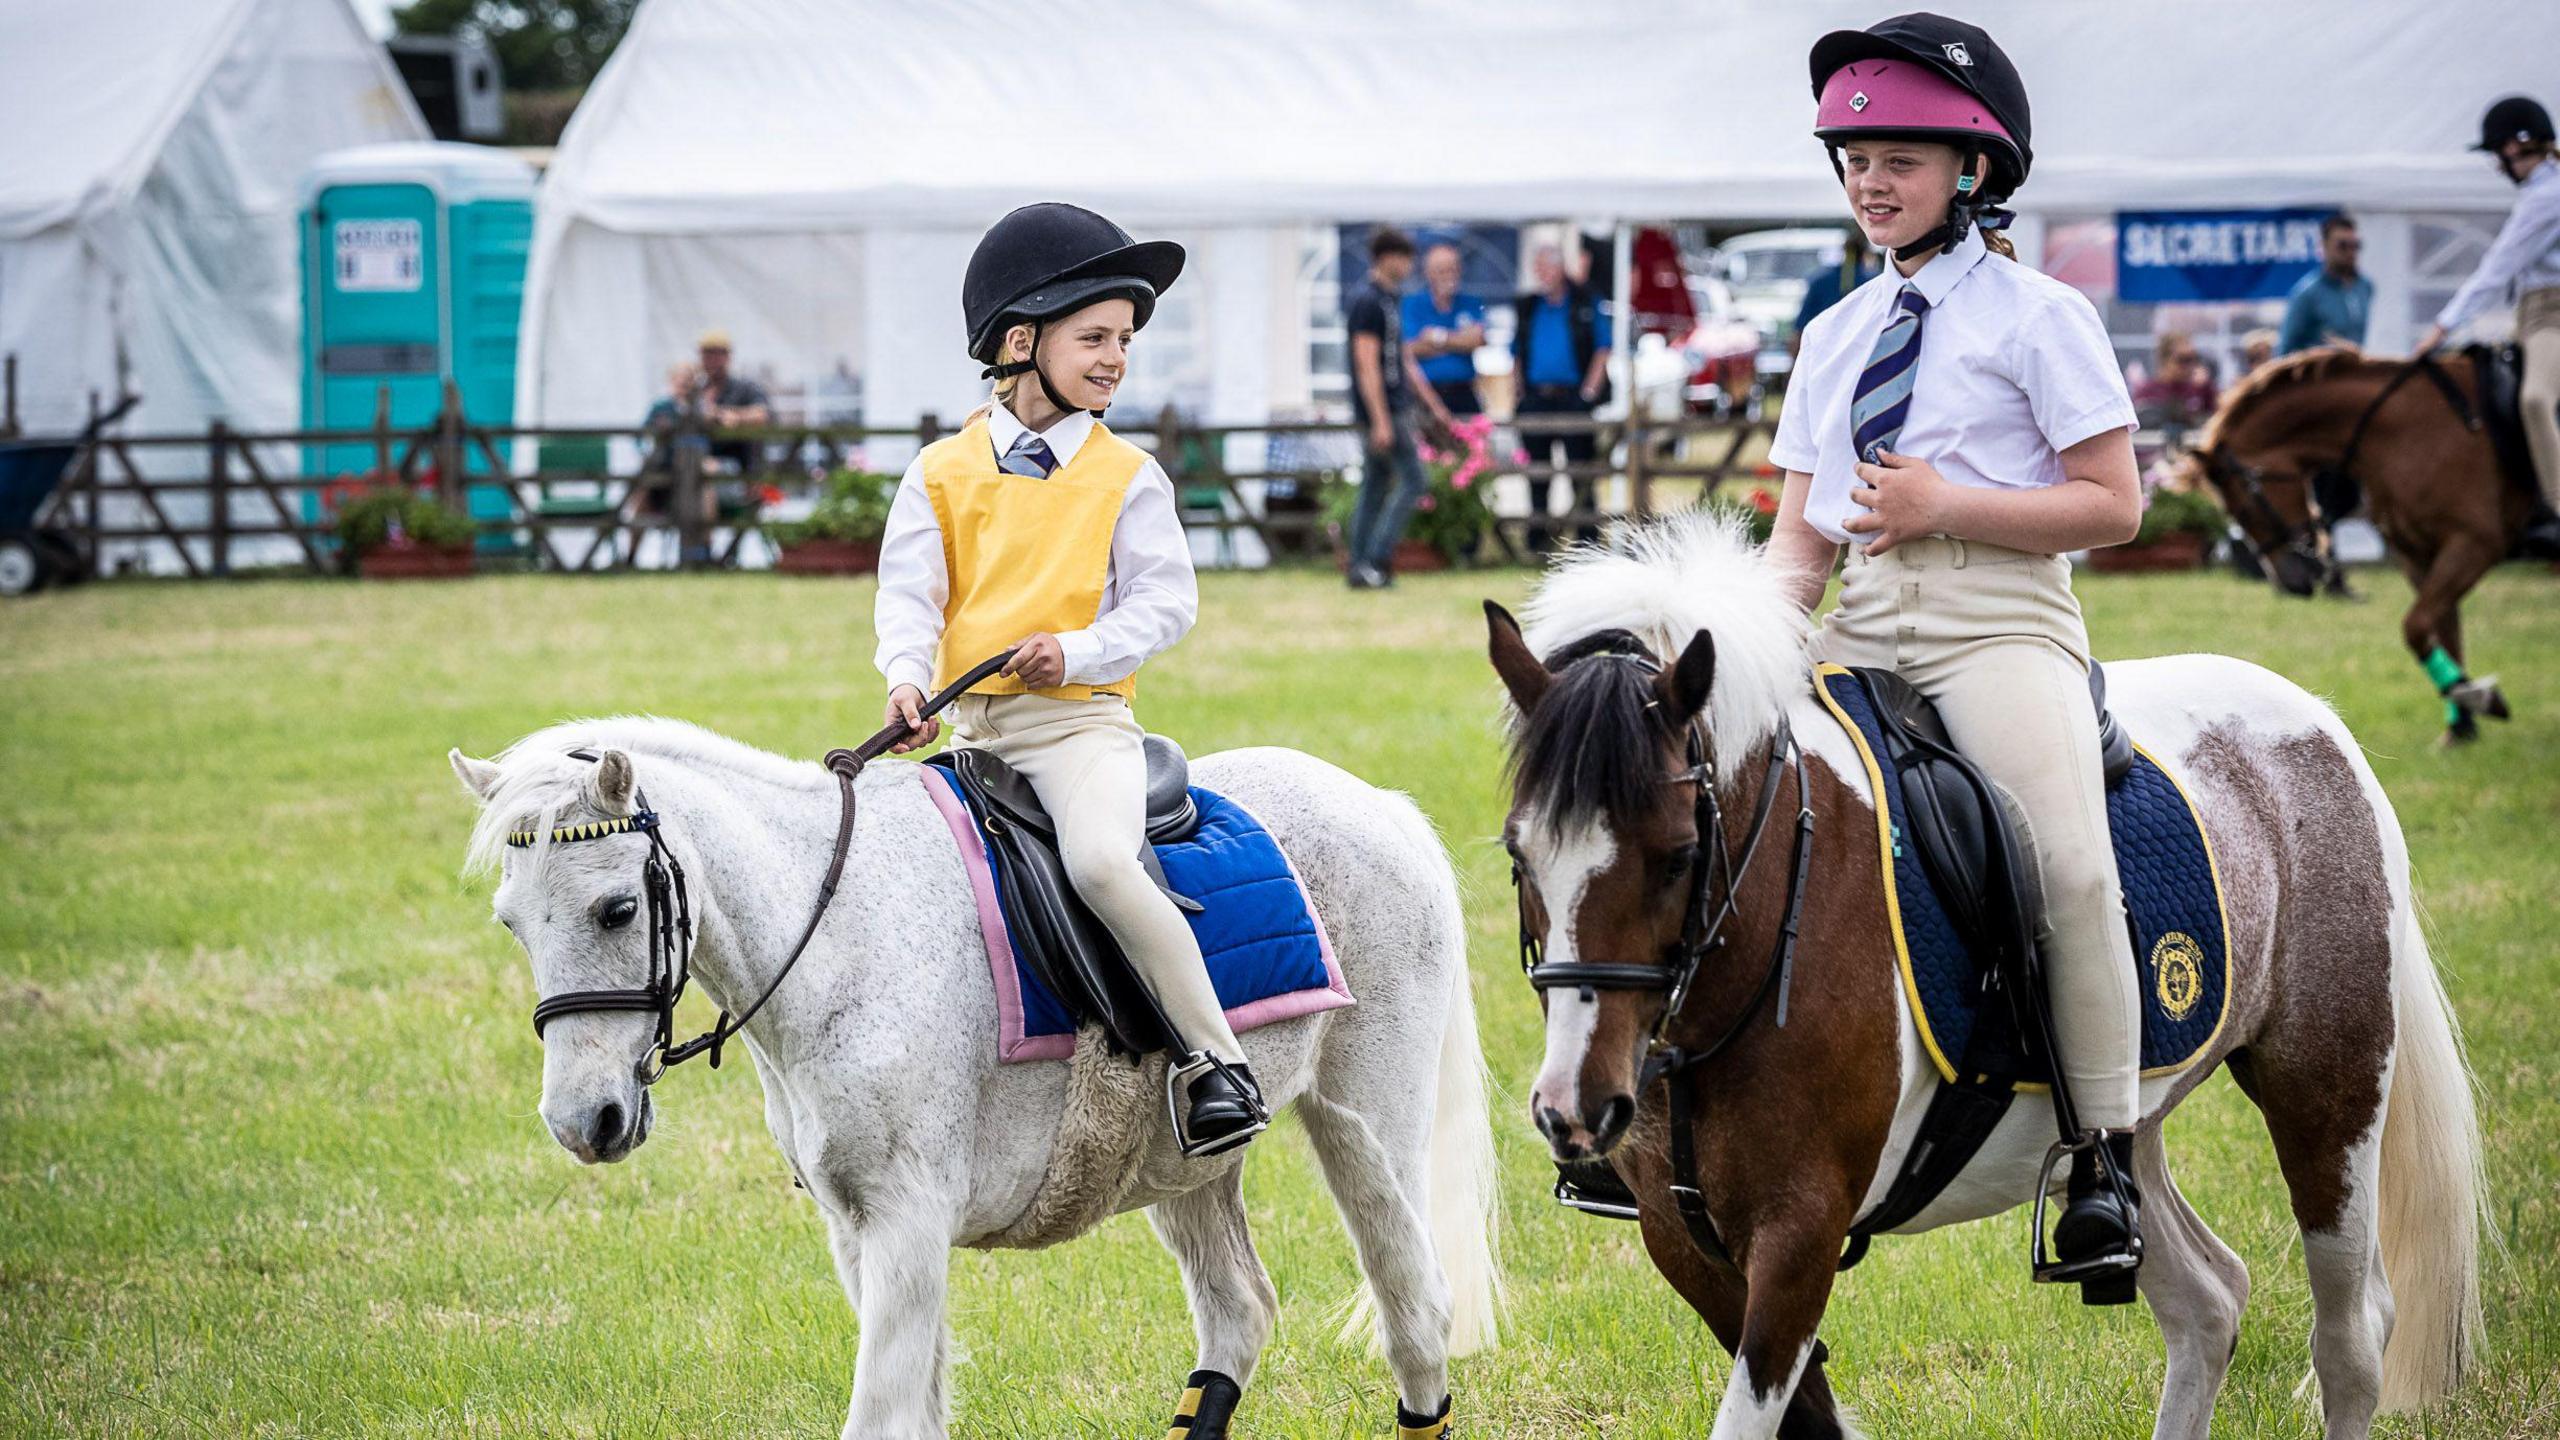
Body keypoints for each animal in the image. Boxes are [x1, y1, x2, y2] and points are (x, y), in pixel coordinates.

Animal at [455, 722, 1495, 1434]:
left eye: (617, 908)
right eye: (511, 922)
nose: (580, 1120)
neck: (838, 933)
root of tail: (1379, 804)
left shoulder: (909, 1224)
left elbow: (879, 1420)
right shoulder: (859, 1232)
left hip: (1366, 1131)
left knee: (1416, 1314)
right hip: (1183, 1166)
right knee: (1239, 1313)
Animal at [1495, 515, 2467, 1434]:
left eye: (1678, 855)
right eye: (1518, 853)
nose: (1576, 1109)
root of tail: (2309, 716)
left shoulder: (1800, 1236)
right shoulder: (1684, 1243)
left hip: (2328, 1086)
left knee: (2351, 1337)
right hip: (2130, 1124)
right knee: (2208, 1302)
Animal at [2191, 340, 2529, 732]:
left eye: (2241, 510)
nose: (2289, 583)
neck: (2403, 427)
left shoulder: (2475, 542)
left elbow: (2418, 625)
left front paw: (2473, 700)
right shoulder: (2417, 550)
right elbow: (2439, 627)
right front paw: (2463, 717)